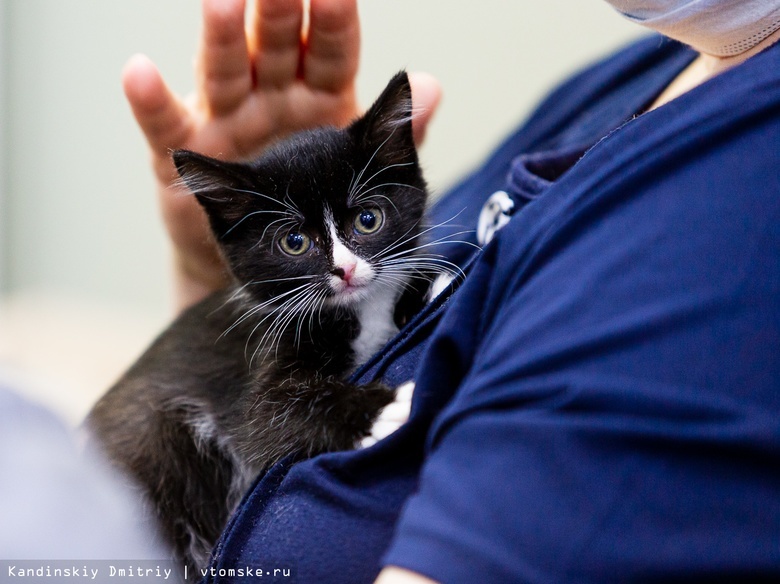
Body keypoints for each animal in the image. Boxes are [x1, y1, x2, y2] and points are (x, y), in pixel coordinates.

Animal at [88, 73, 438, 576]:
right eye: (294, 242)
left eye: (368, 219)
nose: (346, 270)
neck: (357, 312)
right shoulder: (258, 370)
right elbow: (273, 411)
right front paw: (383, 408)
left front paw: (424, 286)